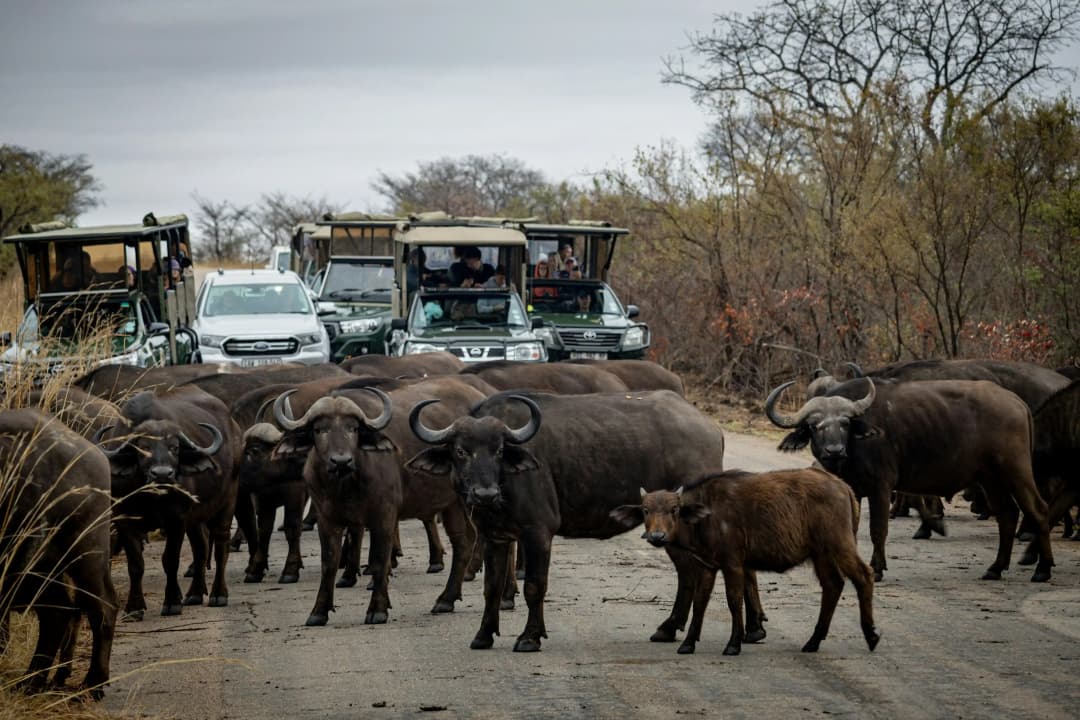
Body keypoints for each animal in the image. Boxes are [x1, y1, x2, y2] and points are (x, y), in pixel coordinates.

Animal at [0, 410, 118, 699]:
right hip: (41, 564)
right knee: (59, 612)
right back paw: (35, 681)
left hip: (83, 549)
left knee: (101, 606)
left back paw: (92, 682)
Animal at [408, 388, 730, 651]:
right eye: (461, 450)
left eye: (499, 450)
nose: (484, 493)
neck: (504, 487)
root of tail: (710, 428)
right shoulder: (493, 536)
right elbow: (492, 587)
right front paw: (484, 635)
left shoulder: (538, 533)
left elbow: (535, 586)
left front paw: (530, 637)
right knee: (687, 572)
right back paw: (668, 628)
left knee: (695, 572)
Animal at [764, 379, 1049, 582]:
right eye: (814, 426)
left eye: (845, 423)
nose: (834, 450)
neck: (854, 450)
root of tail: (1016, 401)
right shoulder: (853, 490)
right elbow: (851, 530)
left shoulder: (881, 487)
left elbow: (878, 529)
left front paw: (877, 568)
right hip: (990, 479)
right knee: (1008, 515)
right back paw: (995, 568)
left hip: (1016, 471)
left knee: (1038, 510)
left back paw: (1042, 570)